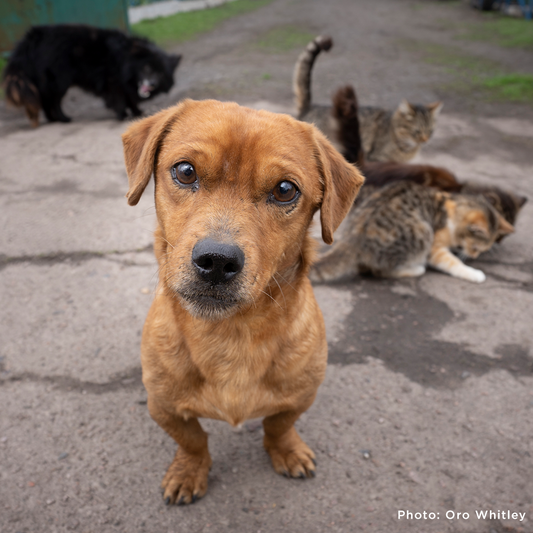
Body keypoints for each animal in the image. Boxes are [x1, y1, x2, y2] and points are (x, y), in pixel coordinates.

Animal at [2, 25, 182, 125]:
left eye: (160, 73)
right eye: (146, 68)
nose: (151, 83)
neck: (124, 58)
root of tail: (33, 38)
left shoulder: (126, 84)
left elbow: (131, 99)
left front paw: (137, 112)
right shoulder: (113, 81)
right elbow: (119, 99)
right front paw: (123, 115)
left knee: (46, 100)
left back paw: (53, 119)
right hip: (60, 81)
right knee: (54, 101)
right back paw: (63, 118)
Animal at [121, 98, 364, 502]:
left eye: (285, 189)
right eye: (185, 171)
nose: (217, 261)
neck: (231, 333)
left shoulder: (300, 399)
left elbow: (278, 426)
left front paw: (286, 450)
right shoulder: (164, 408)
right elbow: (193, 440)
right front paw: (190, 470)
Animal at [310, 181, 512, 284]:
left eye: (481, 250)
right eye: (476, 248)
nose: (475, 256)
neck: (453, 206)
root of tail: (354, 236)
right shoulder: (435, 246)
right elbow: (451, 262)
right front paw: (472, 272)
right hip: (422, 232)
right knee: (379, 271)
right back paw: (415, 269)